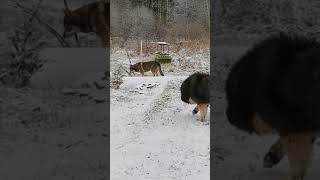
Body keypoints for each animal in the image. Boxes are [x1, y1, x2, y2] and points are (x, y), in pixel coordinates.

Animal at [226, 32, 320, 180]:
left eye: (230, 97)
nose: (228, 116)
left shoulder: (296, 128)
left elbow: (297, 164)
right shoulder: (301, 125)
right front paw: (271, 156)